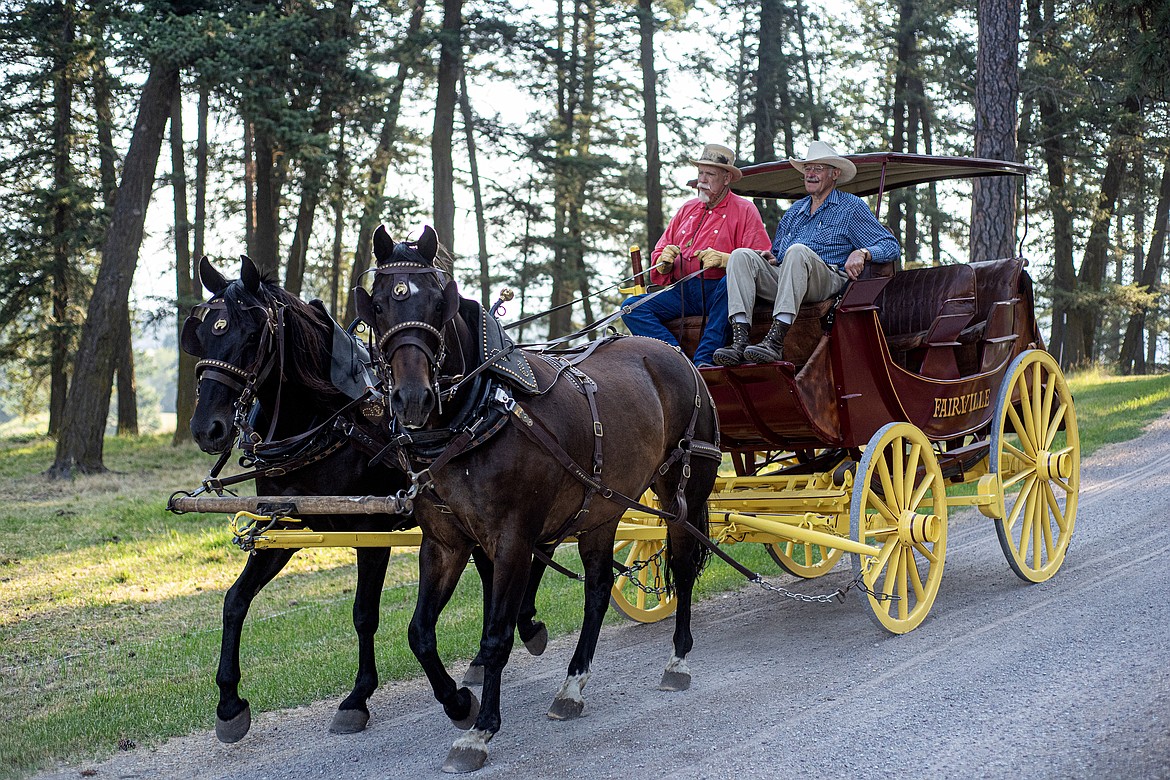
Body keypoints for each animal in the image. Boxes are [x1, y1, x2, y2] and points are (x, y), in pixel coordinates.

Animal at [181, 254, 547, 743]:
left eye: (252, 335)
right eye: (202, 334)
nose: (208, 429)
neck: (328, 421)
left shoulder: (371, 531)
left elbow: (363, 614)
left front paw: (358, 697)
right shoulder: (284, 528)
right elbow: (235, 601)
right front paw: (228, 704)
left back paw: (520, 629)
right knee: (492, 570)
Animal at [355, 225, 720, 776]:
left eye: (438, 302)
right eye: (376, 305)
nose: (413, 399)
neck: (477, 415)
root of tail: (676, 355)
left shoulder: (512, 540)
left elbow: (496, 633)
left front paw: (480, 730)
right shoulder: (445, 543)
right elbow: (420, 632)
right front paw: (459, 703)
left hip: (682, 492)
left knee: (681, 563)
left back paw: (678, 659)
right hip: (599, 510)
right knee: (598, 590)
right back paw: (572, 686)